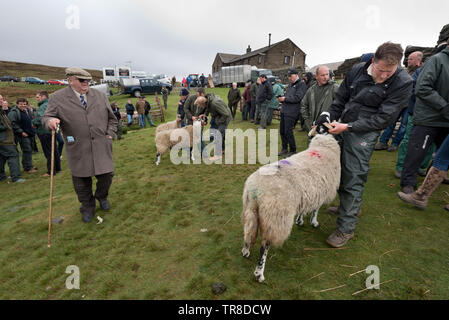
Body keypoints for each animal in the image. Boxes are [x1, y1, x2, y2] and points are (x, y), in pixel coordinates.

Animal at [242, 133, 340, 282]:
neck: (323, 147)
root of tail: (256, 188)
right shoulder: (322, 191)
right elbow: (316, 209)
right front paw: (314, 222)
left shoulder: (310, 193)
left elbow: (304, 209)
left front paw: (300, 220)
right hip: (275, 217)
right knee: (264, 247)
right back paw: (259, 273)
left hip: (251, 209)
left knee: (249, 232)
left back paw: (246, 251)